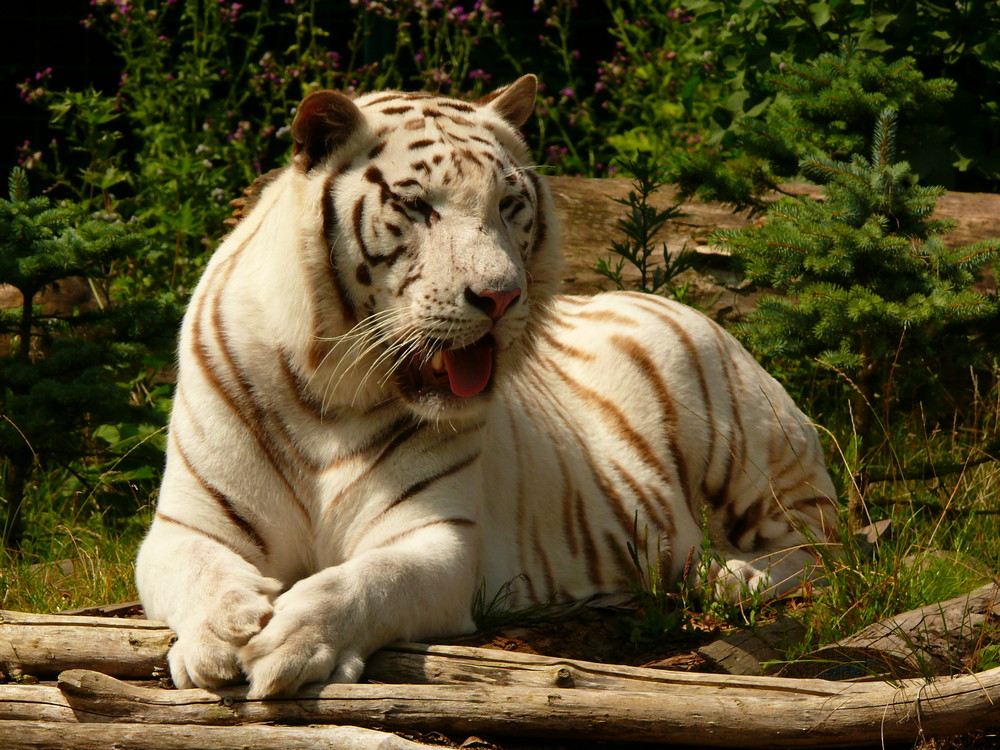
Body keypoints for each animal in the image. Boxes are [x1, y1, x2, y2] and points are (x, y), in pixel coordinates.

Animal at [135, 75, 836, 700]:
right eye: (417, 206)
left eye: (507, 204)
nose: (500, 297)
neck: (329, 392)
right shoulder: (187, 525)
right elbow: (200, 575)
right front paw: (223, 637)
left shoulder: (437, 536)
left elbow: (359, 583)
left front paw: (287, 643)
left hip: (747, 447)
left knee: (824, 547)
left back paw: (727, 576)